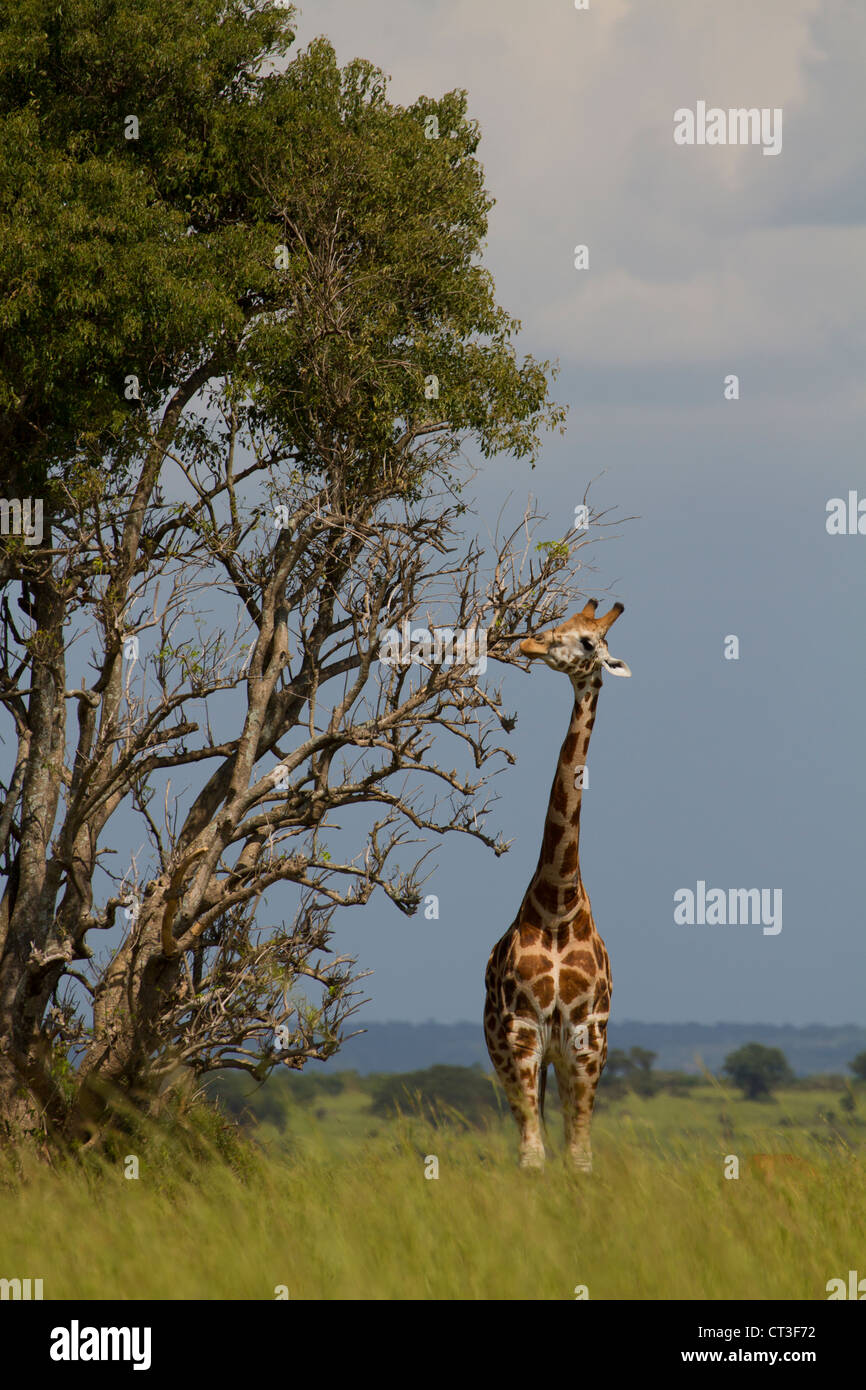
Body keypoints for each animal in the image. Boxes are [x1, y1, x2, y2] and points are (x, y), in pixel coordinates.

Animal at [480, 600, 631, 1173]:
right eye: (561, 623)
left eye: (589, 641)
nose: (530, 643)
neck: (558, 904)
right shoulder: (522, 1034)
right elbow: (533, 1157)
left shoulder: (587, 1040)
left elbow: (579, 1155)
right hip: (503, 1047)